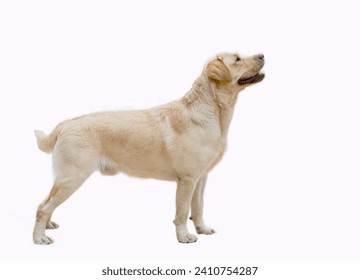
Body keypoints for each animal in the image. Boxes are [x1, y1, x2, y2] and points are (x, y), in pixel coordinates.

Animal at [33, 52, 264, 245]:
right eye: (237, 59)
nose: (262, 55)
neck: (213, 112)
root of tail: (66, 124)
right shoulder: (187, 179)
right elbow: (182, 212)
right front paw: (184, 237)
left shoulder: (201, 177)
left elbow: (198, 207)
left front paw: (202, 229)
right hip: (73, 177)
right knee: (43, 207)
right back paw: (40, 238)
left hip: (66, 178)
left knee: (46, 202)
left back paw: (48, 227)